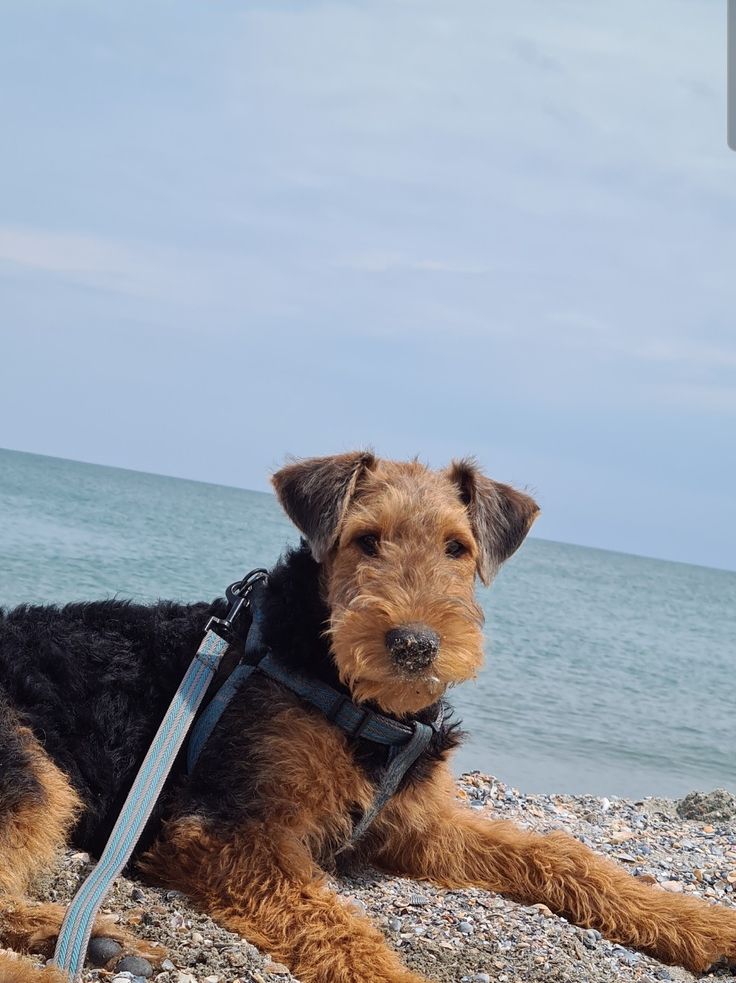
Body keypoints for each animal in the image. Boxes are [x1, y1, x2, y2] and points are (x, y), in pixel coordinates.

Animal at [1, 456, 736, 983]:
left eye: (457, 547)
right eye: (365, 539)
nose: (414, 644)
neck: (348, 693)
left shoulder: (415, 826)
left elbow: (561, 853)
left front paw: (700, 926)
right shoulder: (226, 832)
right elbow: (340, 927)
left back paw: (96, 940)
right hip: (34, 771)